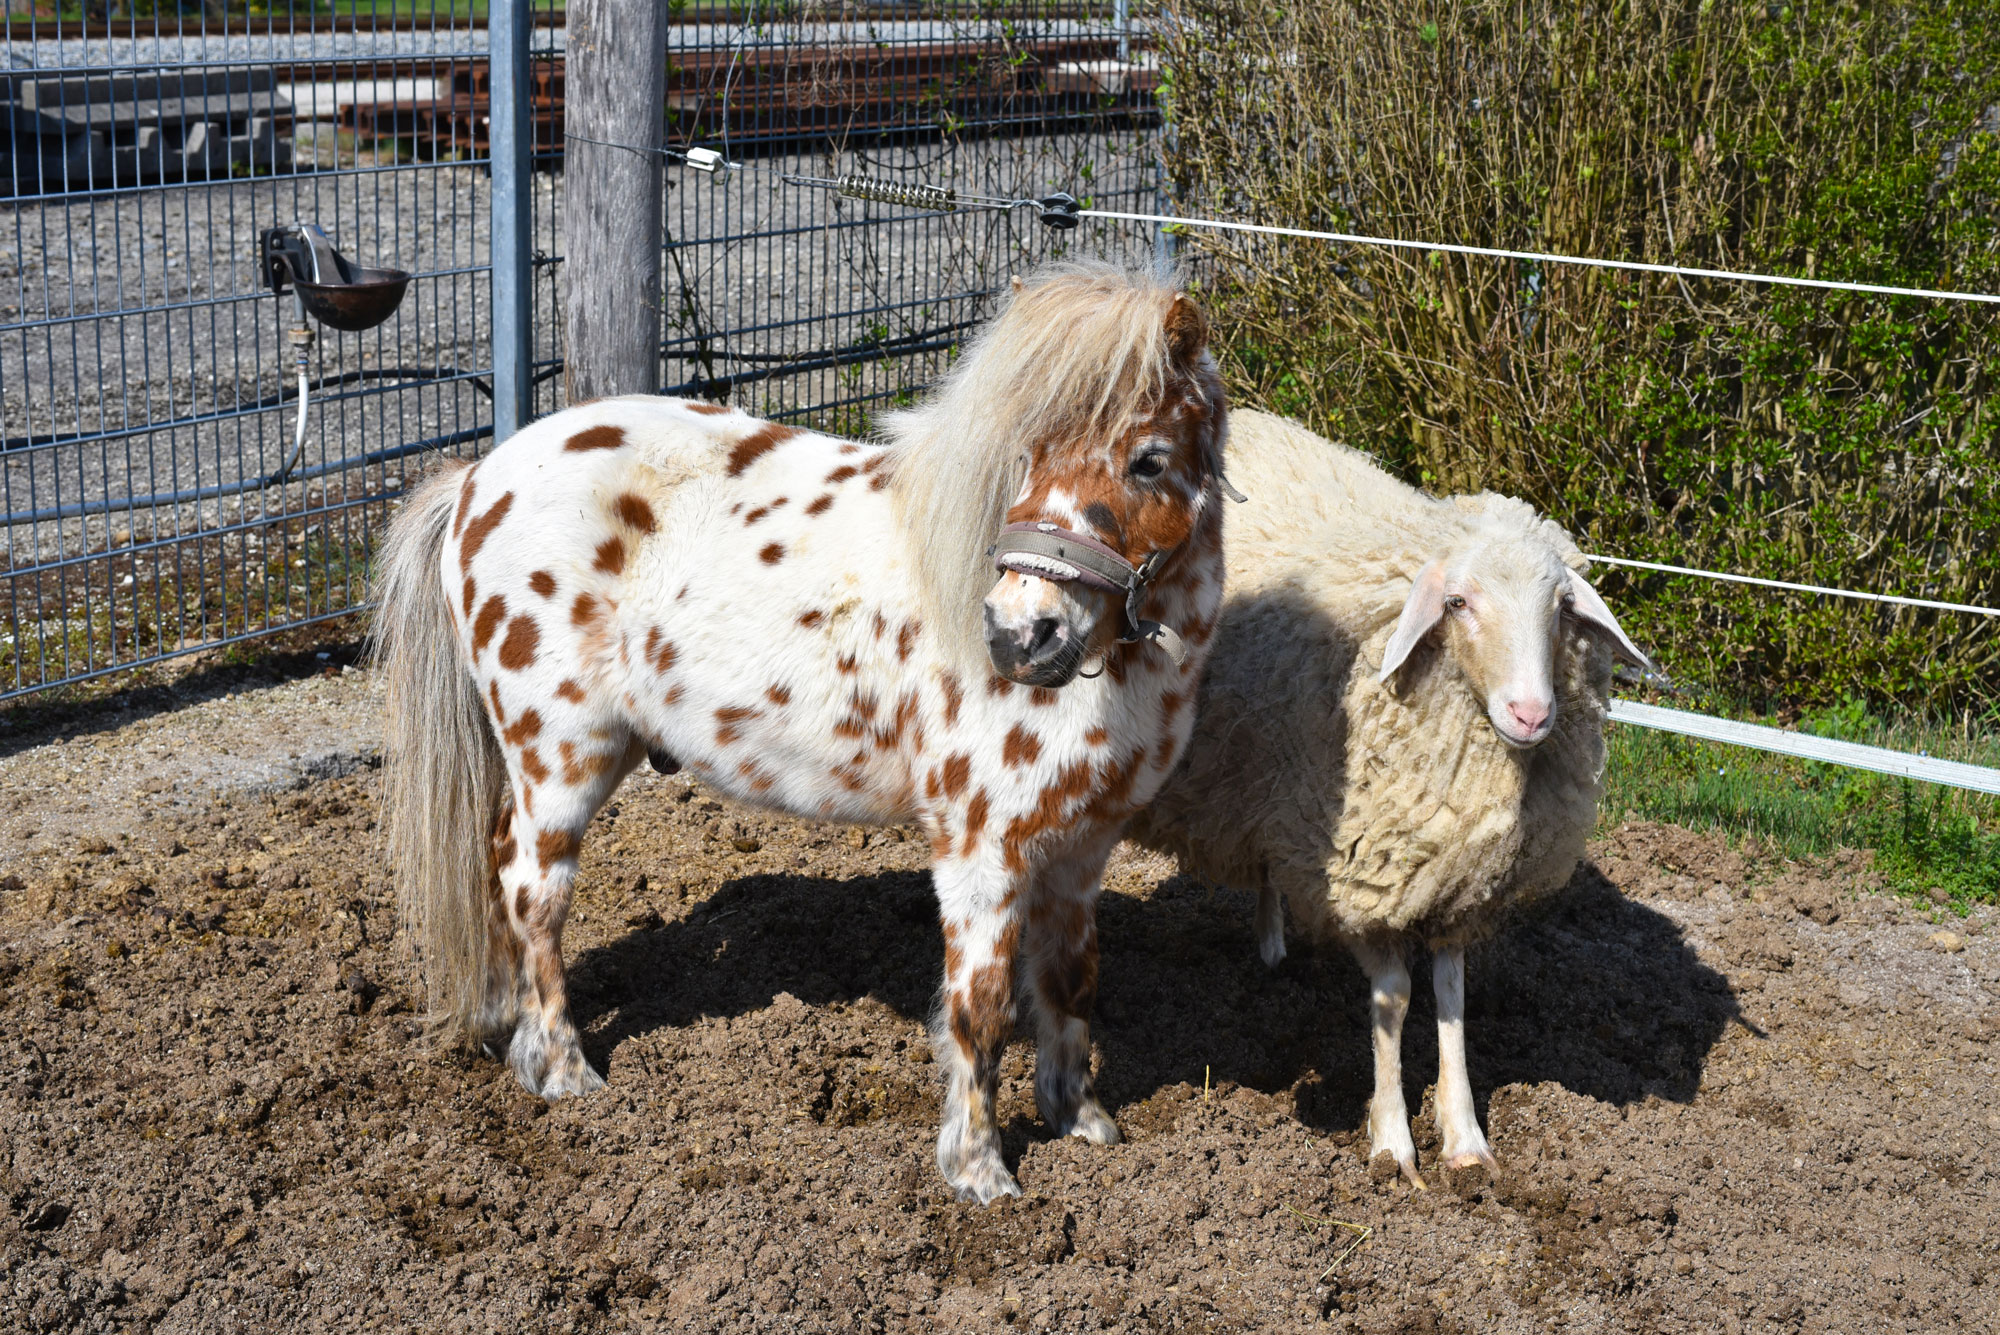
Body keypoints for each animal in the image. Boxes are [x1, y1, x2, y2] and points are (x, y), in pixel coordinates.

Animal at [369, 263, 1230, 1203]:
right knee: (534, 892)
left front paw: (1081, 1120)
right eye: (1026, 455)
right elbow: (982, 1007)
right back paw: (561, 1068)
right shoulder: (982, 850)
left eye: (1149, 460)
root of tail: (479, 478)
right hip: (561, 758)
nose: (1017, 637)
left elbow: (1070, 982)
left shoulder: (1081, 847)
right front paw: (978, 1170)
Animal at [1127, 408, 1650, 1186]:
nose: (1531, 714)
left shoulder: (1453, 883)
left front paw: (1465, 1139)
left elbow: (1454, 997)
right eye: (1458, 602)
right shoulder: (1363, 872)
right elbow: (1395, 999)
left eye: (1561, 607)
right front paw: (1393, 1141)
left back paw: (1273, 946)